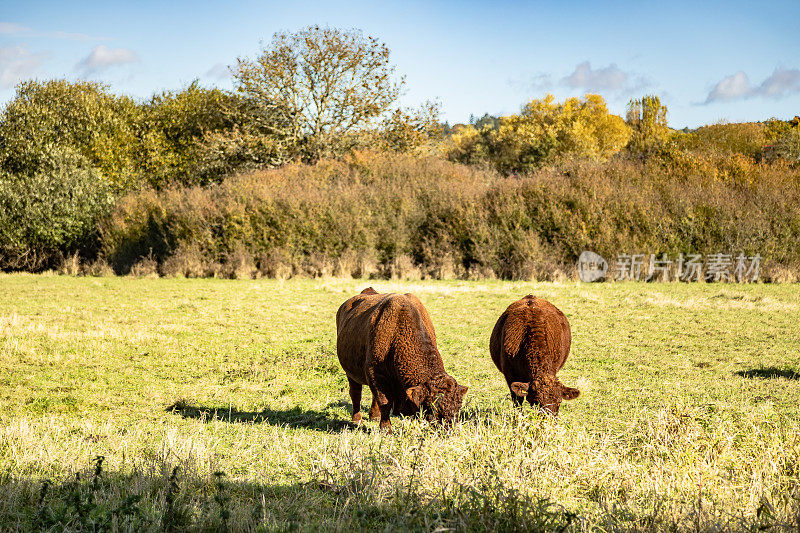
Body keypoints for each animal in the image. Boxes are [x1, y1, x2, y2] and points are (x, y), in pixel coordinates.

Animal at [334, 286, 466, 428]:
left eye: (458, 407)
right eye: (432, 408)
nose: (448, 428)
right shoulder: (375, 374)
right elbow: (384, 402)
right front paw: (386, 428)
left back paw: (374, 416)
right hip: (350, 373)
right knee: (355, 393)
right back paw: (356, 419)